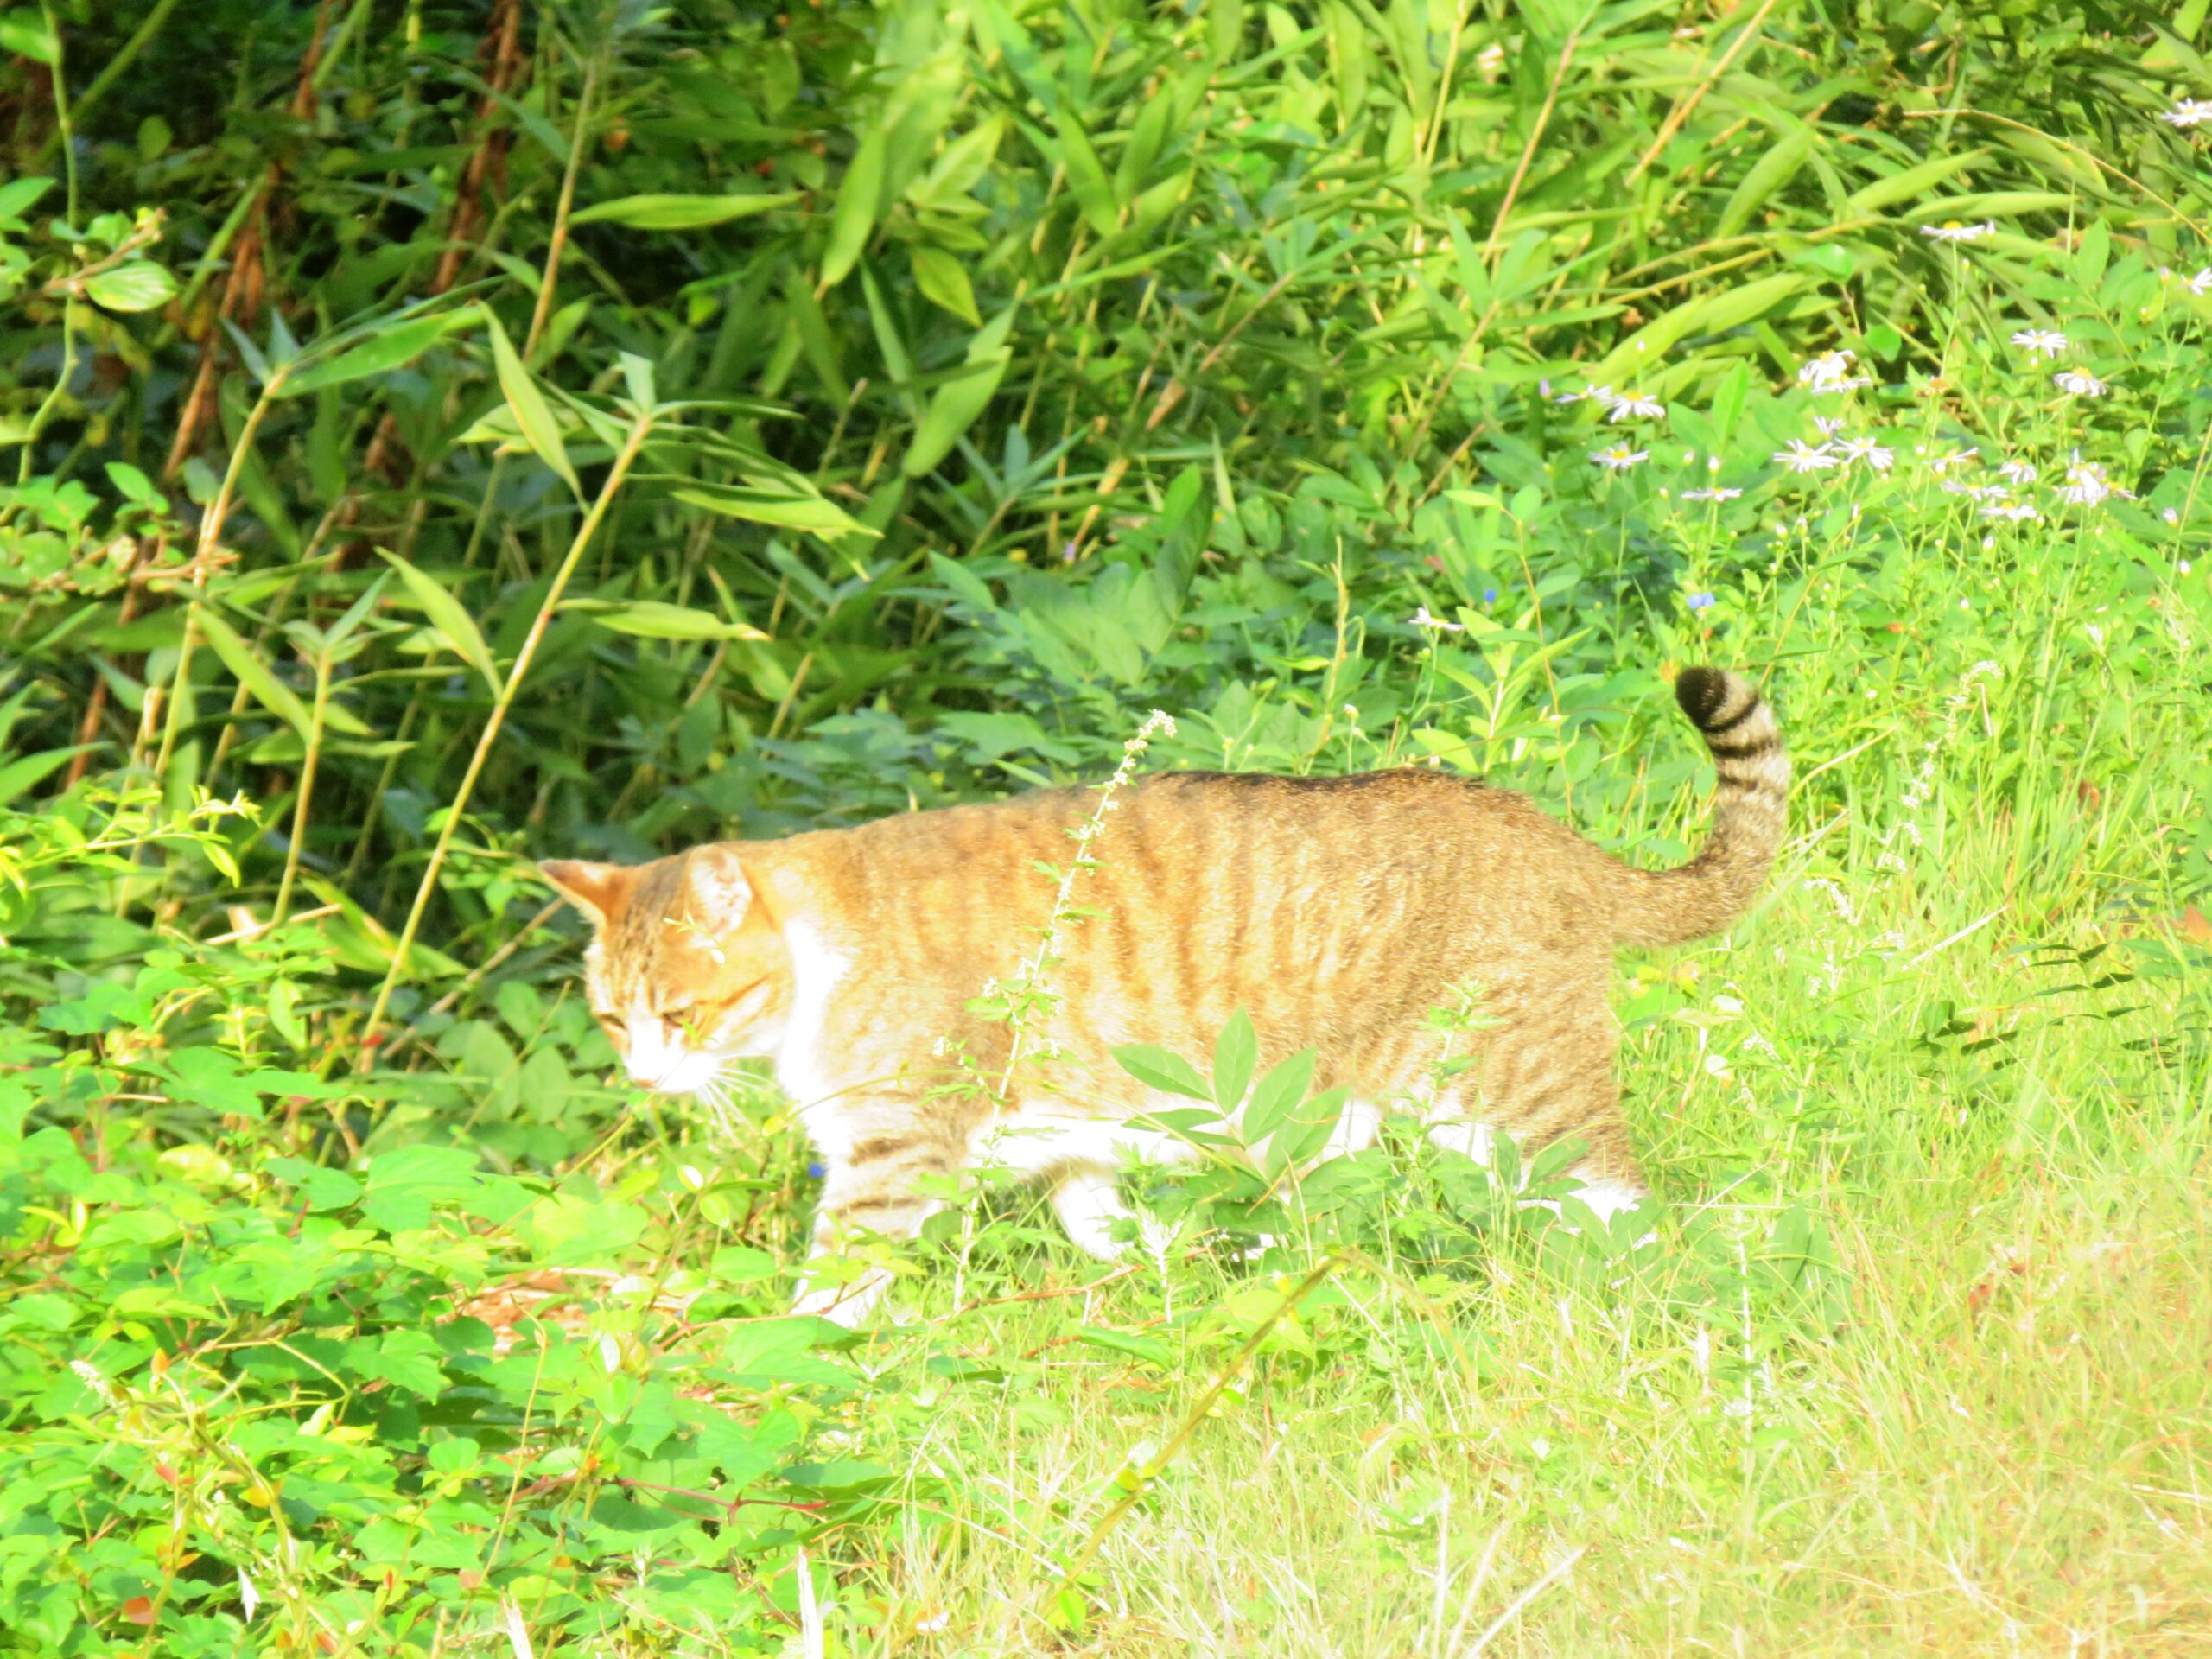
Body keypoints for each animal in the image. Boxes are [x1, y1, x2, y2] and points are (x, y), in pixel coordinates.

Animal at [543, 664, 1787, 1327]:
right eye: (611, 1017)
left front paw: (788, 1368)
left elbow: (831, 1294)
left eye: (681, 1015)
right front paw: (1166, 1261)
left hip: (1518, 1094)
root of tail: (1548, 830)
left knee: (1627, 1203)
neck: (822, 947)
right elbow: (1098, 1220)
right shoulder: (1067, 1132)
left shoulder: (893, 1158)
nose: (642, 1076)